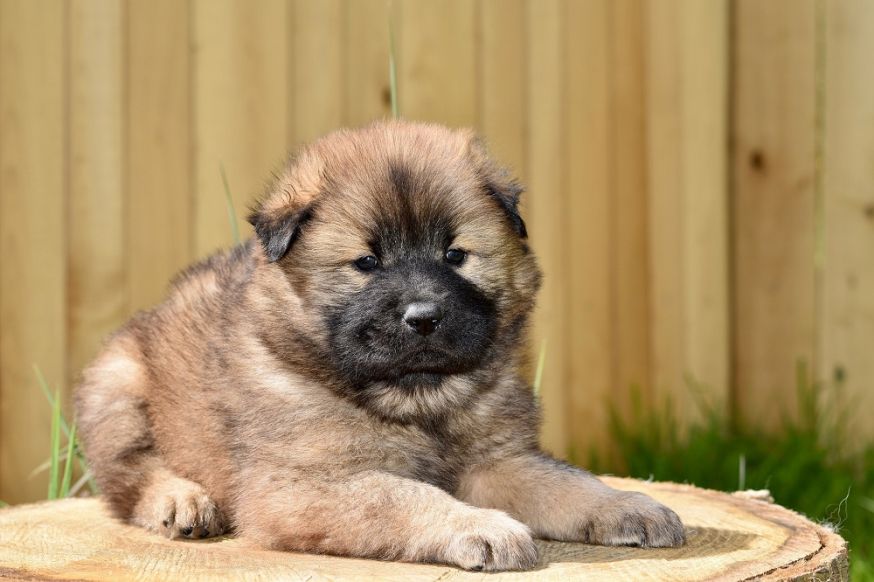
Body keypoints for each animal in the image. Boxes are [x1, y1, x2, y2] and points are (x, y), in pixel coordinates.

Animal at [75, 121, 684, 572]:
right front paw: (481, 527)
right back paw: (182, 500)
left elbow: (565, 483)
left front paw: (631, 506)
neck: (418, 401)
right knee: (128, 477)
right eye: (367, 262)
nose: (423, 317)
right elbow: (402, 496)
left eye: (454, 254)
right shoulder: (305, 486)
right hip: (117, 382)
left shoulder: (497, 460)